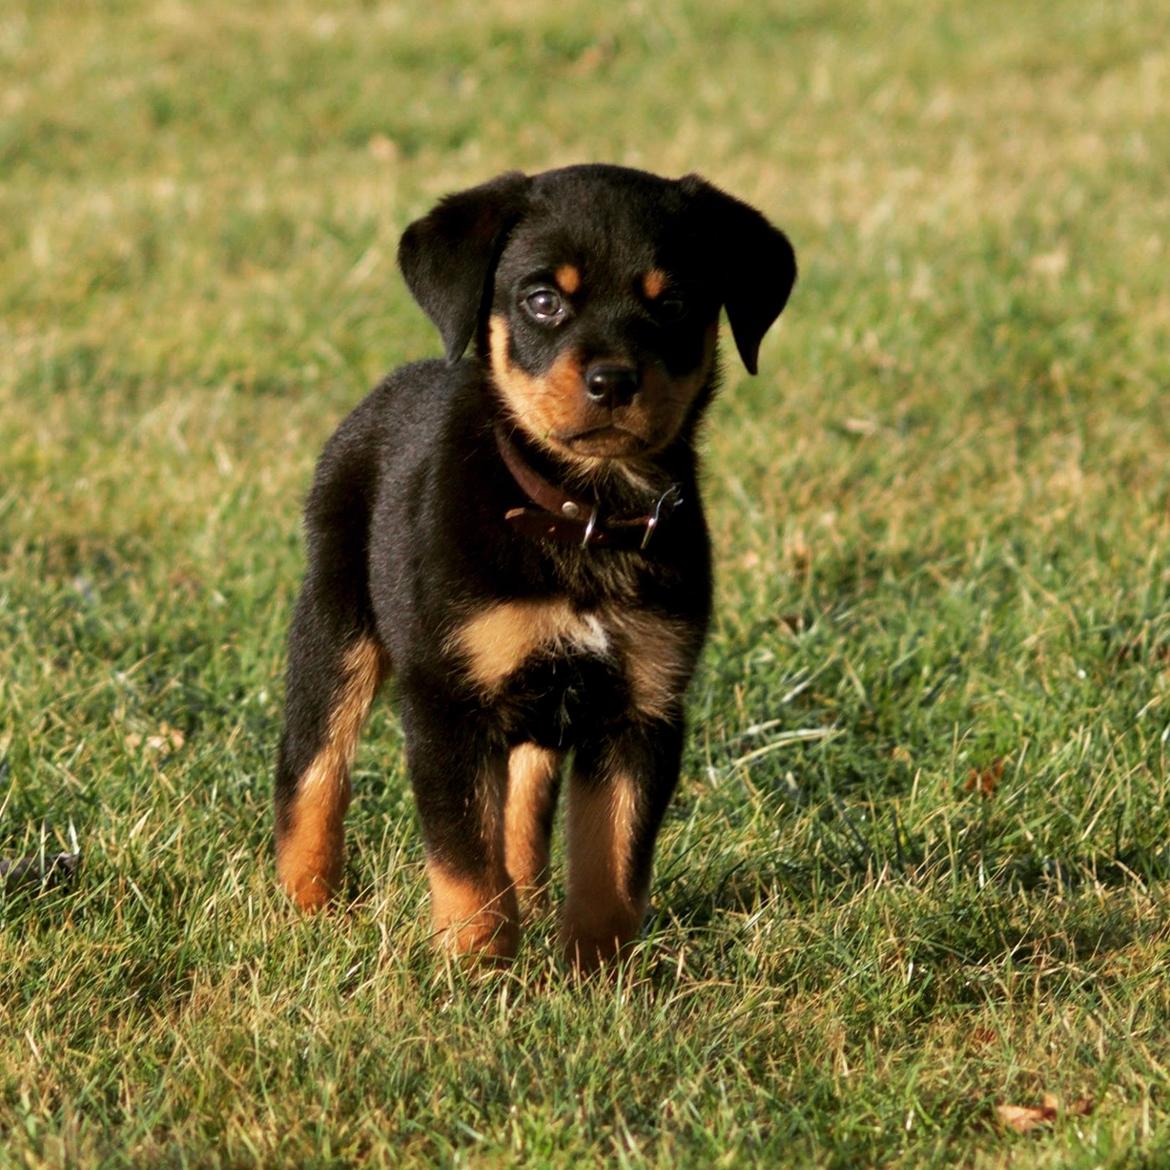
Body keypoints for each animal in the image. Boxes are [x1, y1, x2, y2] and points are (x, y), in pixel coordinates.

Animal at [273, 164, 795, 968]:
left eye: (674, 303)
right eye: (543, 300)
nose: (613, 381)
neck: (585, 511)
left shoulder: (643, 709)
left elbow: (612, 866)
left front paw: (597, 977)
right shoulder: (446, 701)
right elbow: (466, 861)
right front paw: (477, 971)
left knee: (522, 795)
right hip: (336, 621)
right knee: (313, 768)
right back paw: (309, 909)